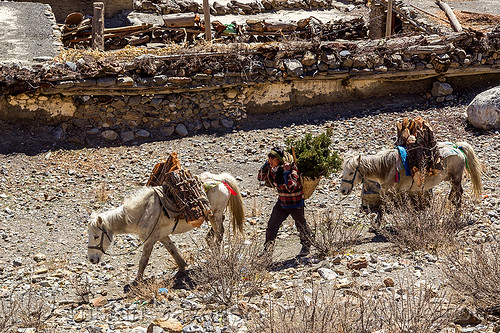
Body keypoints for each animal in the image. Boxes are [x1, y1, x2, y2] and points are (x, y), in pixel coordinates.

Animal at [89, 171, 246, 280]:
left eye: (96, 236)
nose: (91, 259)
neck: (141, 213)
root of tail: (221, 179)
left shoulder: (150, 241)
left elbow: (143, 261)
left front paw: (137, 281)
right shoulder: (162, 236)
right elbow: (173, 251)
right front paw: (182, 268)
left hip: (216, 215)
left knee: (220, 233)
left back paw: (216, 255)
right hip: (213, 215)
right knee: (216, 231)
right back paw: (210, 244)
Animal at [340, 140, 484, 205]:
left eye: (351, 172)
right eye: (343, 171)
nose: (343, 190)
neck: (388, 168)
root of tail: (457, 148)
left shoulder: (395, 191)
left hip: (456, 177)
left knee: (459, 191)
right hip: (449, 178)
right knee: (455, 190)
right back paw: (450, 201)